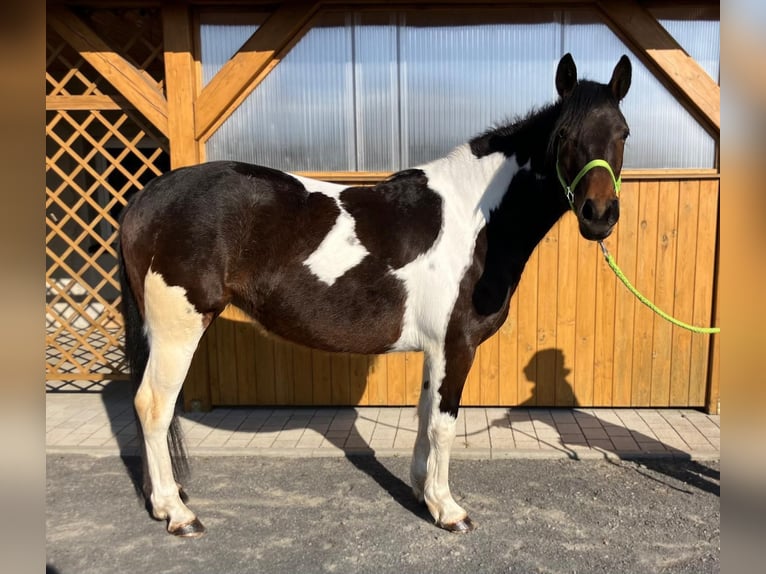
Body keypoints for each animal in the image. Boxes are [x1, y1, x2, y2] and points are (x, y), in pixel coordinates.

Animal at [118, 52, 631, 537]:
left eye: (623, 133)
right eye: (563, 136)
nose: (599, 215)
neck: (477, 217)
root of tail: (149, 195)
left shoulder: (435, 349)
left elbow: (425, 417)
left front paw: (422, 493)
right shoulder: (457, 345)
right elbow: (444, 424)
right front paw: (449, 511)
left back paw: (159, 501)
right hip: (178, 329)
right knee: (152, 407)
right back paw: (177, 513)